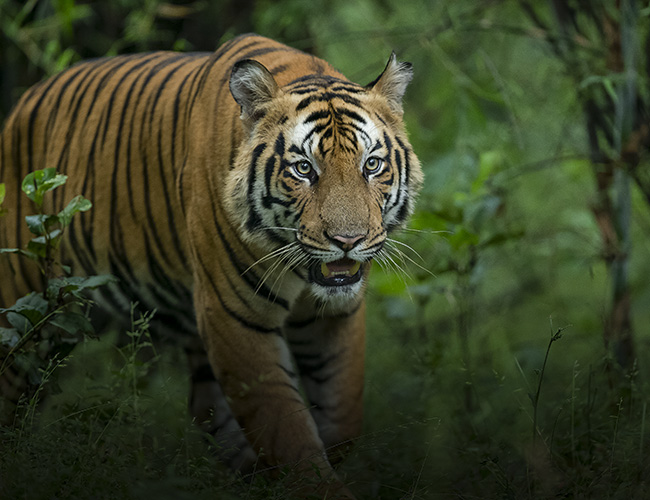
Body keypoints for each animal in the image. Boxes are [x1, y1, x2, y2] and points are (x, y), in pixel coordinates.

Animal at [0, 34, 422, 496]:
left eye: (372, 165)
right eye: (303, 169)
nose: (348, 242)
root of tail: (22, 102)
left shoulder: (336, 315)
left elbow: (342, 415)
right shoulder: (234, 316)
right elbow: (285, 428)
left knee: (208, 411)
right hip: (26, 313)